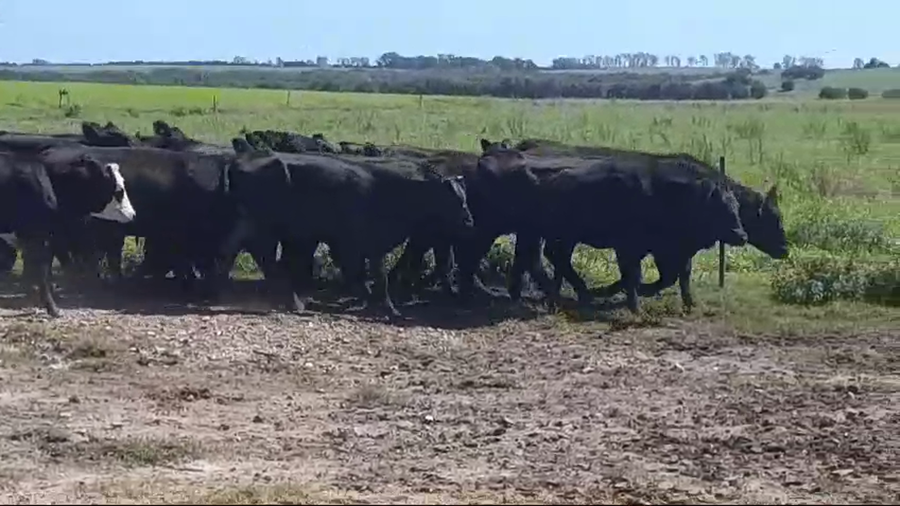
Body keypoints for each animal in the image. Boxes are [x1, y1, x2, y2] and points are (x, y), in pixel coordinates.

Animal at [221, 152, 474, 317]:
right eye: (454, 199)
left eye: (464, 196)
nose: (469, 221)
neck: (384, 191)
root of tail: (239, 161)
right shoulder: (352, 242)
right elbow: (371, 275)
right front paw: (385, 306)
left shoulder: (365, 245)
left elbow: (365, 274)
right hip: (266, 227)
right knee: (263, 256)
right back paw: (290, 301)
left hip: (250, 224)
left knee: (236, 250)